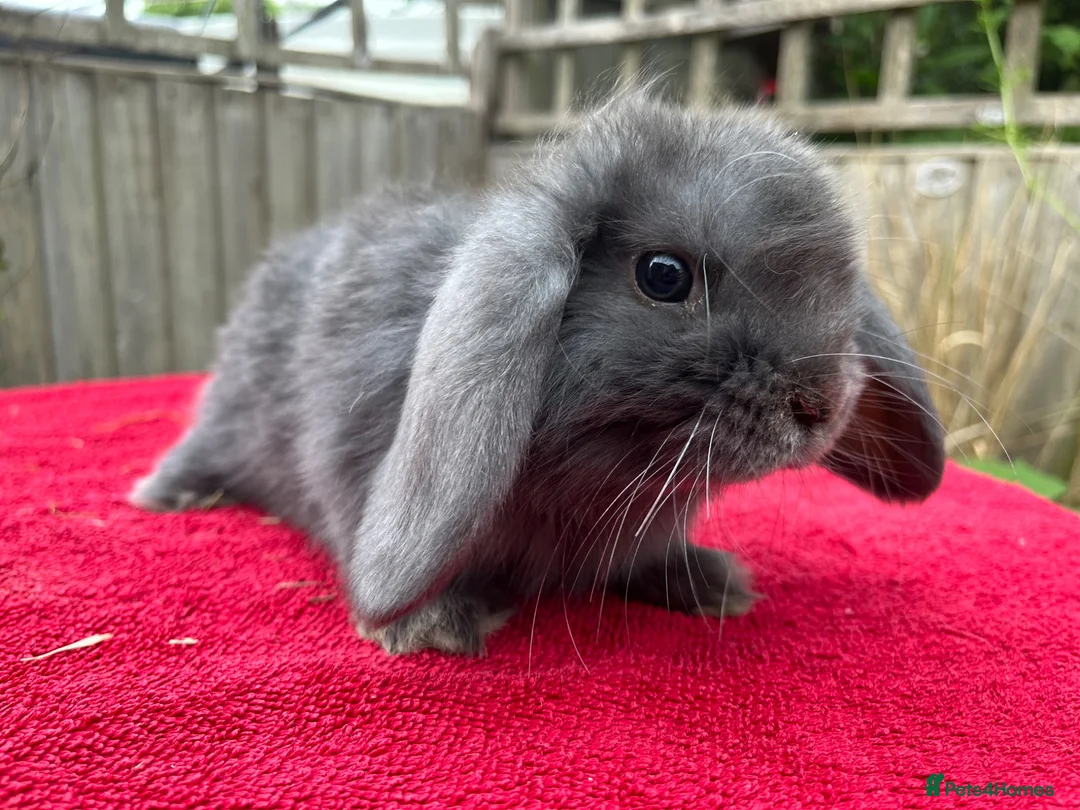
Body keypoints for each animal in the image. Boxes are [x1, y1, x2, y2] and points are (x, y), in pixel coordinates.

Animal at [129, 88, 945, 656]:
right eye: (664, 275)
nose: (821, 404)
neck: (602, 481)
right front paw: (429, 628)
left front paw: (714, 585)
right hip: (229, 419)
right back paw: (171, 497)